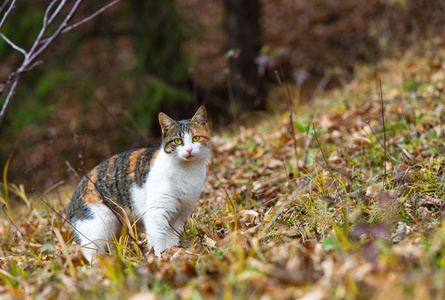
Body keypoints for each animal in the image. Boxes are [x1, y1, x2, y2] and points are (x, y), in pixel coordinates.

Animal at [68, 106, 210, 262]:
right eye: (178, 141)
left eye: (196, 138)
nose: (189, 150)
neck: (187, 173)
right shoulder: (156, 212)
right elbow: (158, 240)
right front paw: (159, 259)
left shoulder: (179, 215)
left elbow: (171, 240)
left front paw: (172, 255)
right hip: (99, 226)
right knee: (90, 252)